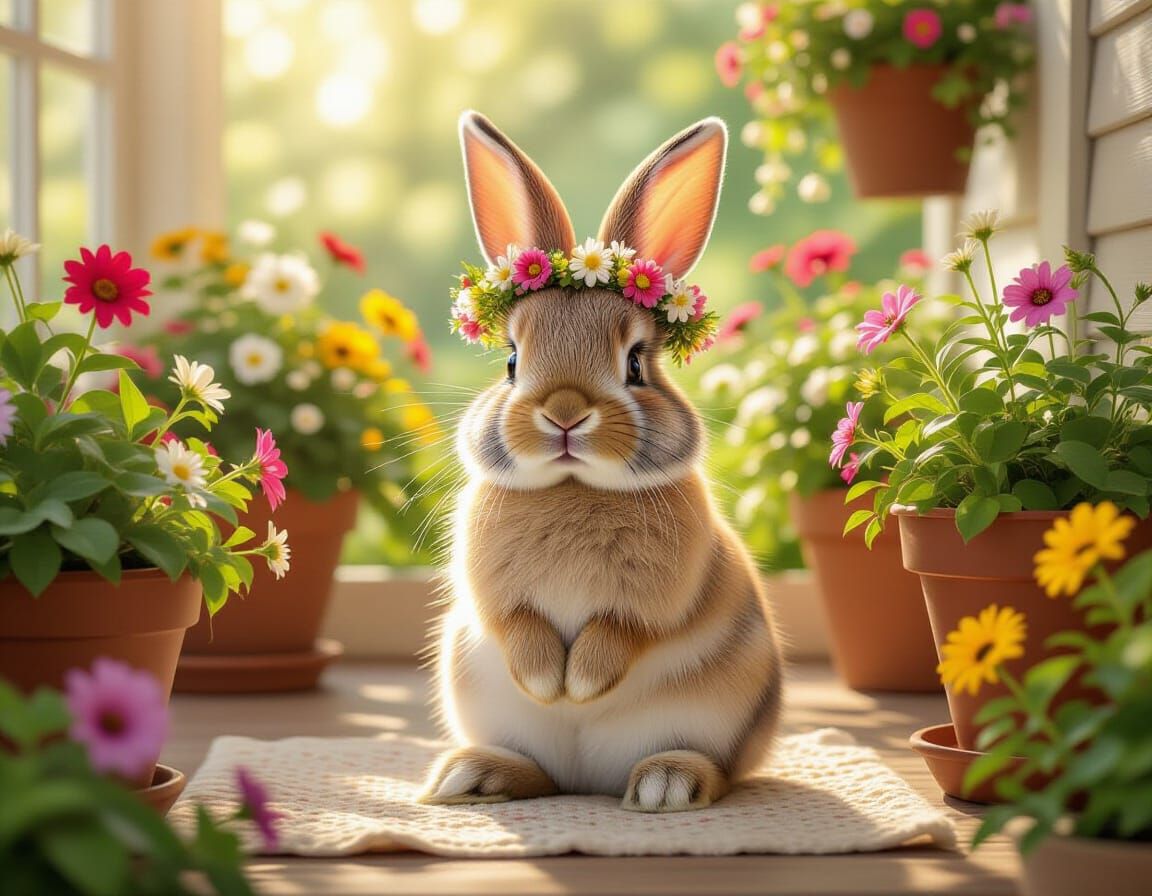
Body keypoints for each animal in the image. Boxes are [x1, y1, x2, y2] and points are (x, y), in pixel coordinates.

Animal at [422, 111, 783, 813]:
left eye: (636, 363)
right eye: (512, 361)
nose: (564, 412)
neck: (572, 484)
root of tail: (590, 782)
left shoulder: (654, 599)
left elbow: (620, 633)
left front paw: (580, 686)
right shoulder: (494, 594)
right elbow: (518, 626)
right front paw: (549, 684)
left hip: (722, 713)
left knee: (716, 772)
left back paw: (666, 785)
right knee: (541, 776)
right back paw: (472, 777)